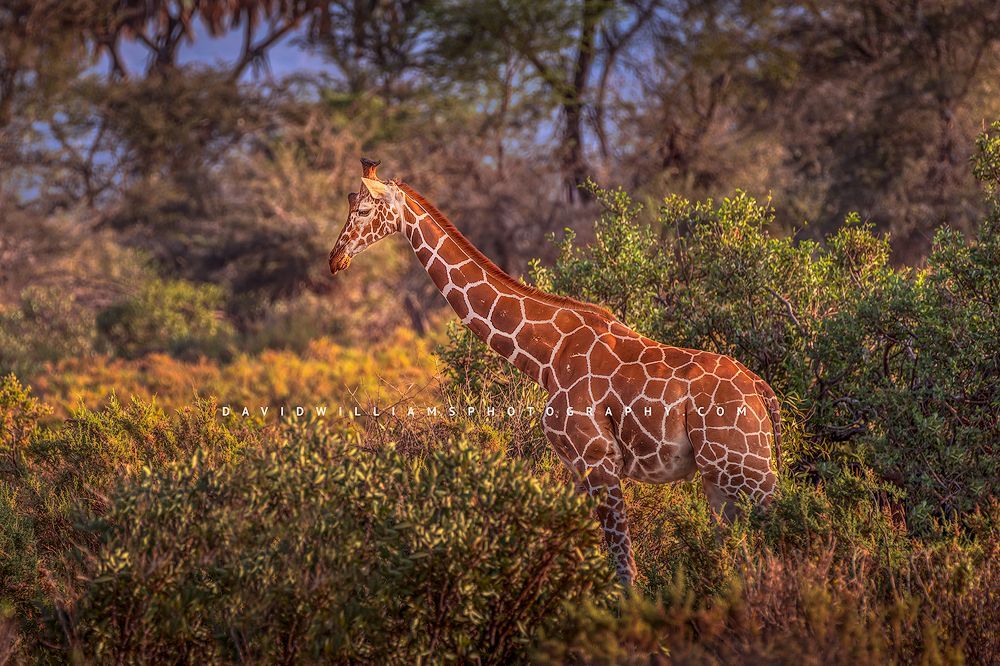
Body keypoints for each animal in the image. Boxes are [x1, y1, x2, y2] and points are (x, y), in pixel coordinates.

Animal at [329, 158, 782, 585]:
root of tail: (763, 392)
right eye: (350, 204)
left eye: (366, 209)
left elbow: (624, 566)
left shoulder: (598, 458)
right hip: (719, 478)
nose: (336, 259)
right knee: (738, 554)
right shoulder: (576, 466)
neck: (545, 355)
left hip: (746, 469)